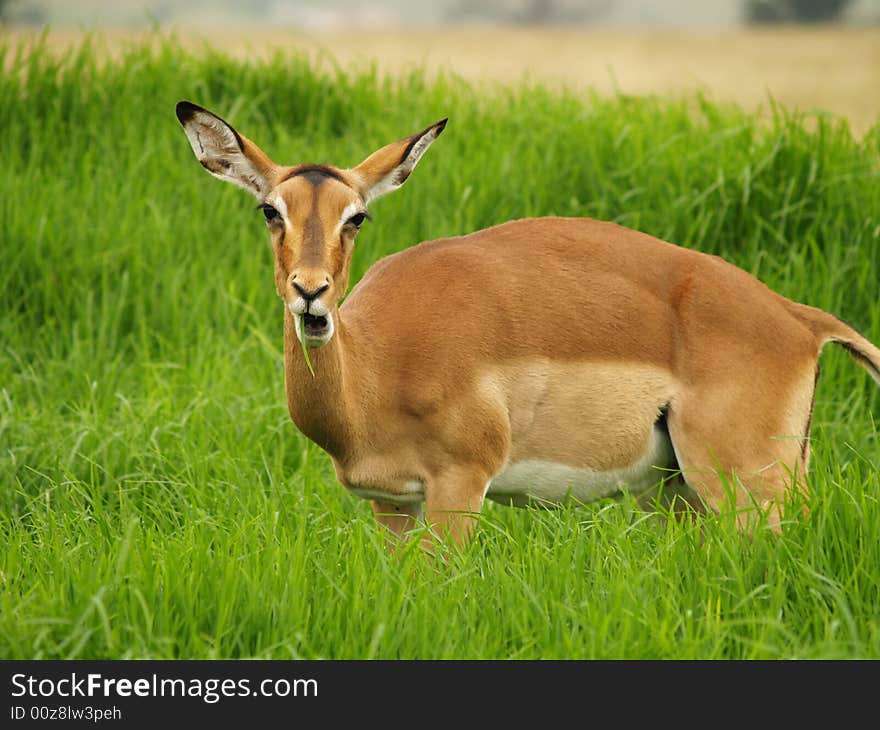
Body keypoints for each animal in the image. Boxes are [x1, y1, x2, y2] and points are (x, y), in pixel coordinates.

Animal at [177, 102, 880, 544]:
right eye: (271, 210)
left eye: (357, 216)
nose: (311, 294)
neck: (376, 365)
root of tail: (797, 318)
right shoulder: (392, 503)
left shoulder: (460, 487)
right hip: (675, 491)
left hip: (745, 489)